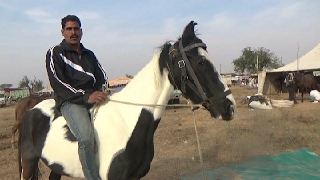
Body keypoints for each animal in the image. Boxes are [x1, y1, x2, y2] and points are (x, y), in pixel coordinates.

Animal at [18, 21, 236, 180]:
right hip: (28, 162)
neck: (127, 123)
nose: (230, 106)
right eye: (200, 62)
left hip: (55, 167)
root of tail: (31, 110)